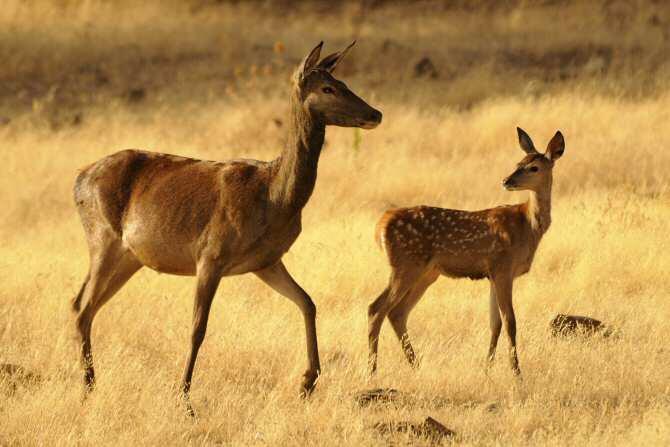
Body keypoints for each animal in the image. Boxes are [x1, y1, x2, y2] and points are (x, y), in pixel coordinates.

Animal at [72, 42, 384, 412]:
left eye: (343, 81)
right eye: (327, 88)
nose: (376, 113)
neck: (274, 198)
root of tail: (79, 180)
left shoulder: (266, 261)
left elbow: (308, 302)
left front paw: (308, 381)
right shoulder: (211, 254)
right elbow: (198, 327)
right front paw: (184, 398)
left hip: (130, 257)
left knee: (83, 305)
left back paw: (89, 382)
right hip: (102, 238)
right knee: (82, 307)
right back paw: (89, 386)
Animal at [370, 129, 564, 378]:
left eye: (533, 167)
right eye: (518, 163)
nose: (506, 181)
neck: (527, 226)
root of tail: (380, 226)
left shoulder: (494, 274)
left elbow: (495, 323)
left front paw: (488, 368)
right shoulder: (503, 267)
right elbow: (510, 321)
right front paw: (517, 372)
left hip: (427, 273)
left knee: (397, 312)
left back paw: (416, 365)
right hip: (405, 265)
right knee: (376, 309)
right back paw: (372, 370)